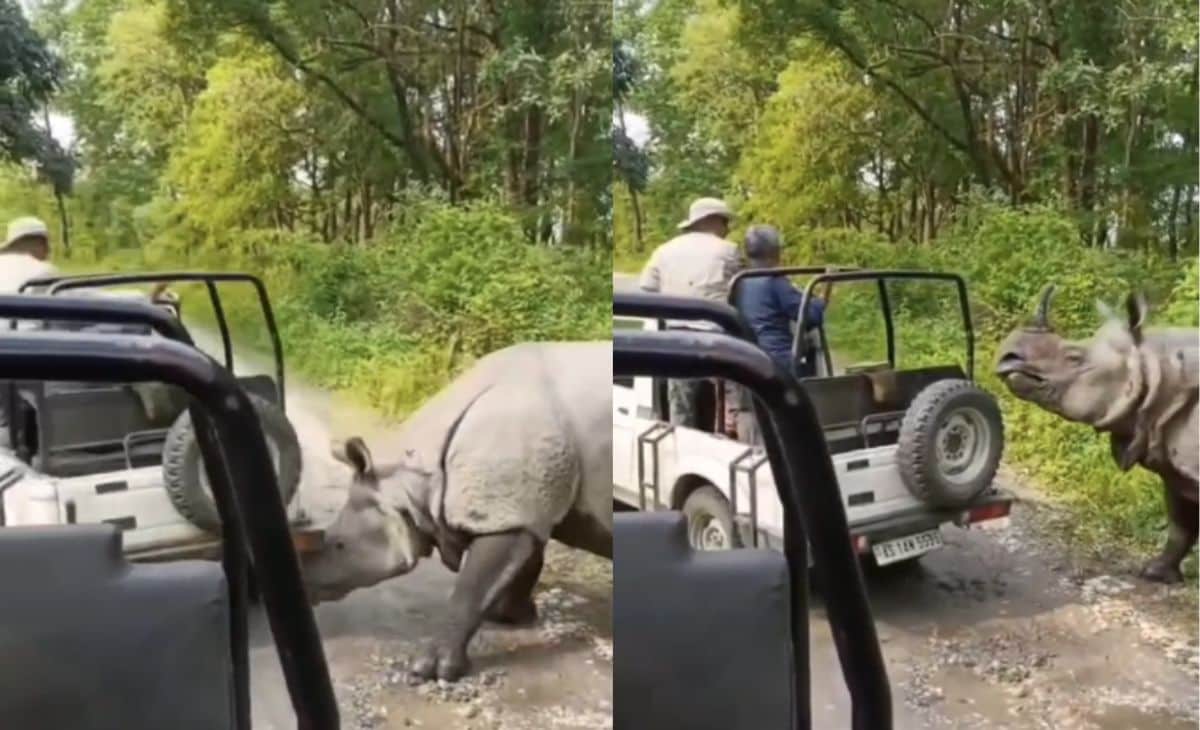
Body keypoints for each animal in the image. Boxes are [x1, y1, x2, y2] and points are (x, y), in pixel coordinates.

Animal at [301, 341, 612, 680]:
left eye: (339, 545)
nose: (307, 585)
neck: (409, 482)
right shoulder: (519, 509)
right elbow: (527, 564)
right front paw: (513, 616)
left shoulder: (508, 514)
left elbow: (470, 590)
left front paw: (435, 669)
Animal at [996, 286, 1198, 583]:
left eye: (1074, 357)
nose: (1007, 356)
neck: (1155, 368)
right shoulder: (1172, 460)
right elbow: (1180, 525)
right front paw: (1155, 573)